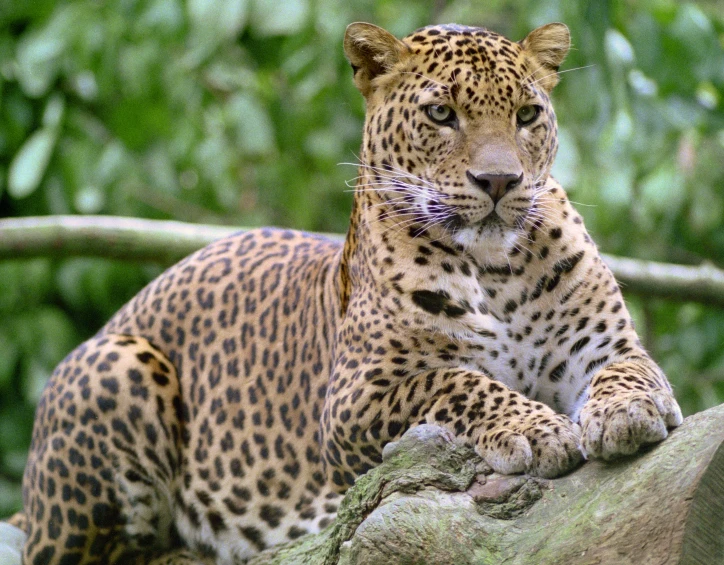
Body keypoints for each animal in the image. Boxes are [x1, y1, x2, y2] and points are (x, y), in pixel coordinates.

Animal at [8, 19, 680, 560]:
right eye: (442, 114)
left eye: (526, 115)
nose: (498, 180)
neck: (496, 271)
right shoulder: (355, 401)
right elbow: (457, 382)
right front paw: (535, 430)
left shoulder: (604, 346)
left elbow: (630, 371)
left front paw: (627, 411)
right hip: (119, 364)